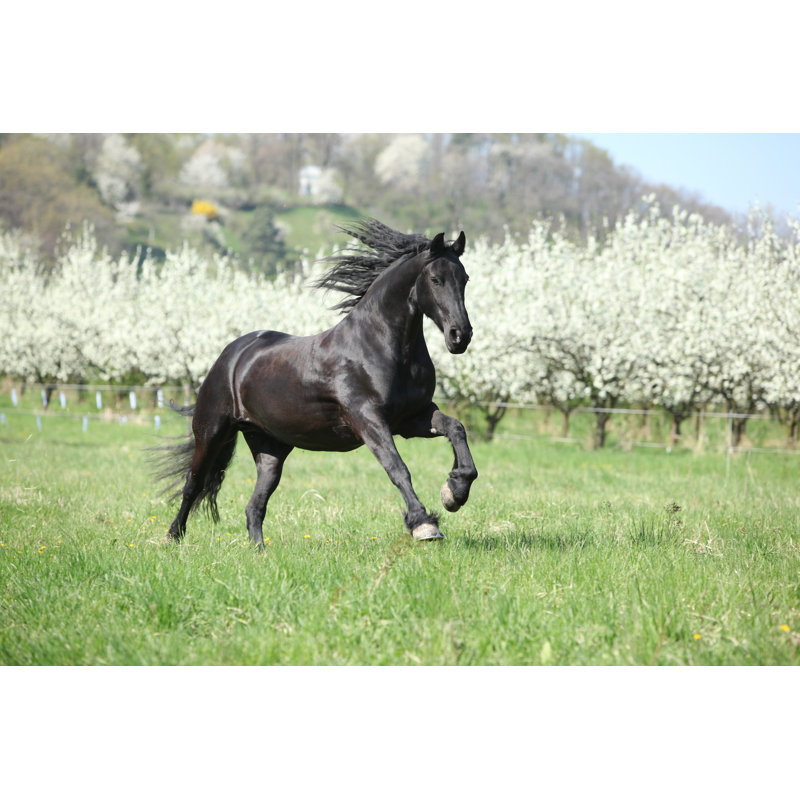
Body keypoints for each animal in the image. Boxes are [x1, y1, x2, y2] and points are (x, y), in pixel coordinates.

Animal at [155, 219, 477, 545]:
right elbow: (397, 468)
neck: (379, 345)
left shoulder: (412, 418)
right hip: (211, 432)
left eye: (464, 278)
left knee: (254, 506)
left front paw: (454, 492)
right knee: (193, 484)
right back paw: (172, 537)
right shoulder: (369, 420)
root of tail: (230, 355)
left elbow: (456, 429)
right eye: (436, 279)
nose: (460, 336)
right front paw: (424, 524)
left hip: (270, 448)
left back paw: (259, 551)